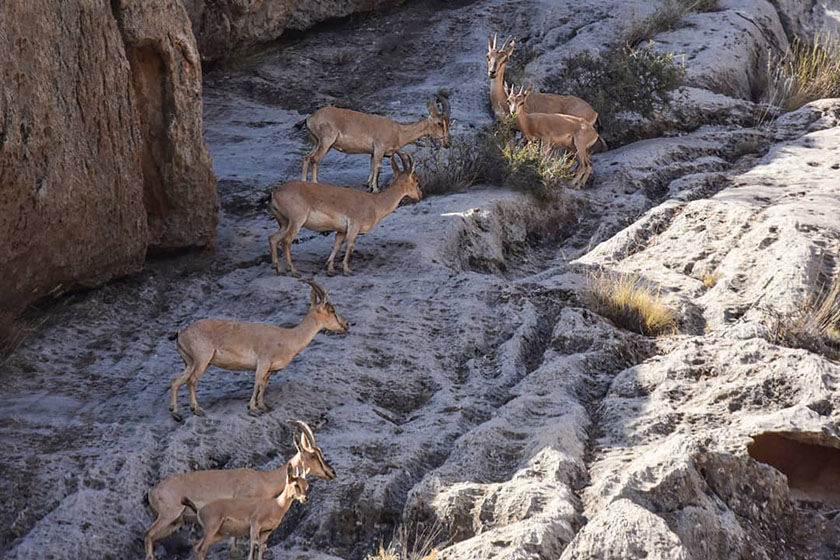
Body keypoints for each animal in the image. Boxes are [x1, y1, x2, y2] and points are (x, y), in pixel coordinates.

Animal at [144, 422, 332, 560]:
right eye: (313, 455)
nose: (332, 473)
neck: (262, 480)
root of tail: (152, 491)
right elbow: (239, 540)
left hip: (175, 522)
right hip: (168, 515)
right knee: (148, 534)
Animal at [169, 280, 346, 420]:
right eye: (332, 310)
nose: (346, 324)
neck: (289, 338)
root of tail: (181, 333)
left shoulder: (269, 369)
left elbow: (264, 385)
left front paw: (262, 406)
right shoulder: (263, 361)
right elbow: (257, 381)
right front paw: (252, 408)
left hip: (192, 362)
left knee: (176, 380)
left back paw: (176, 413)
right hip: (202, 359)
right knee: (192, 380)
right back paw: (196, 409)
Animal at [270, 152, 420, 276]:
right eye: (416, 180)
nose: (419, 195)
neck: (375, 204)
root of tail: (275, 194)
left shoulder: (341, 230)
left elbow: (336, 246)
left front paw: (330, 269)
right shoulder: (354, 226)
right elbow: (350, 246)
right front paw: (347, 270)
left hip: (284, 222)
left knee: (273, 238)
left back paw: (278, 269)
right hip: (297, 220)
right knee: (286, 241)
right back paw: (294, 271)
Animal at [298, 95, 450, 191]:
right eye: (439, 123)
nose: (447, 143)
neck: (398, 131)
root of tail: (310, 118)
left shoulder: (373, 152)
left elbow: (372, 167)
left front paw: (369, 186)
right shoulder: (379, 148)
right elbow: (378, 167)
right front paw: (376, 189)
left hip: (318, 143)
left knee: (306, 157)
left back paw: (304, 182)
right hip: (326, 142)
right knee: (315, 159)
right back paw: (315, 183)